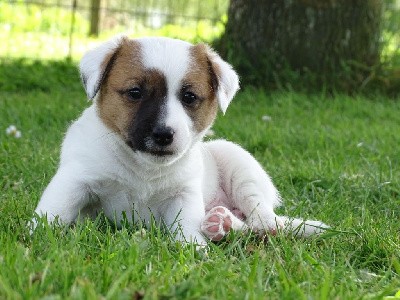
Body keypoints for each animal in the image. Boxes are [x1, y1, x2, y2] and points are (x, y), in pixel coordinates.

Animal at [33, 35, 328, 244]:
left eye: (189, 97)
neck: (144, 169)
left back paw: (228, 224)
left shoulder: (184, 194)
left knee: (262, 222)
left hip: (239, 165)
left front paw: (194, 250)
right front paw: (35, 238)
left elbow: (187, 225)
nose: (164, 134)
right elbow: (53, 211)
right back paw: (221, 224)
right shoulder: (75, 180)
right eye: (135, 92)